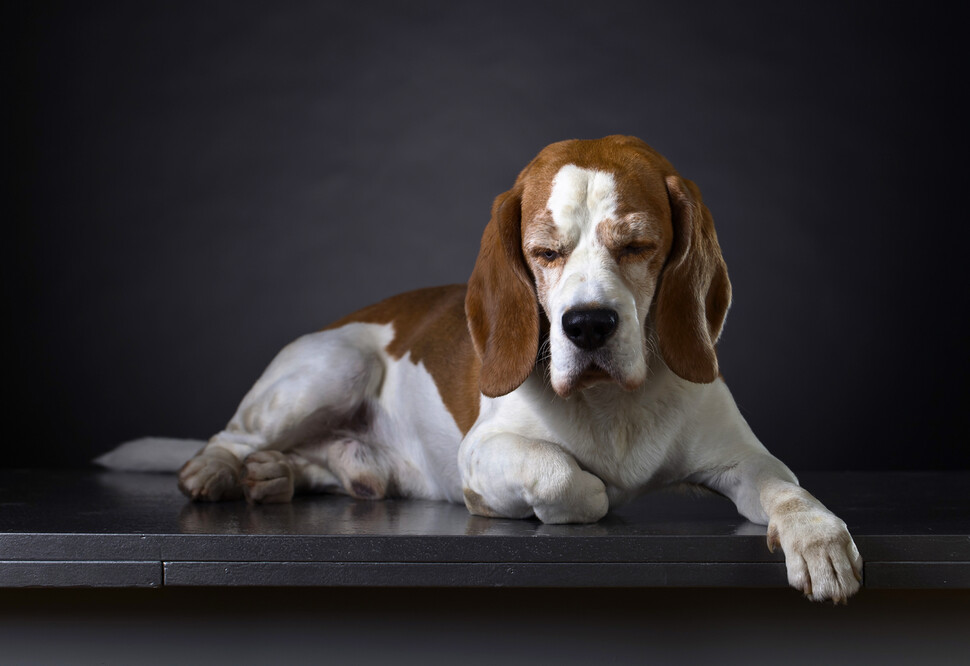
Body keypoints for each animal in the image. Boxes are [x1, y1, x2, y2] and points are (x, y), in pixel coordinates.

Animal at [147, 135, 860, 600]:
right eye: (544, 252)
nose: (588, 324)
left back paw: (278, 475)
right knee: (228, 437)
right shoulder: (484, 453)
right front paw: (583, 496)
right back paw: (220, 470)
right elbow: (571, 479)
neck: (612, 403)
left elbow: (787, 488)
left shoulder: (744, 458)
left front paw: (818, 537)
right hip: (336, 365)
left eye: (637, 245)